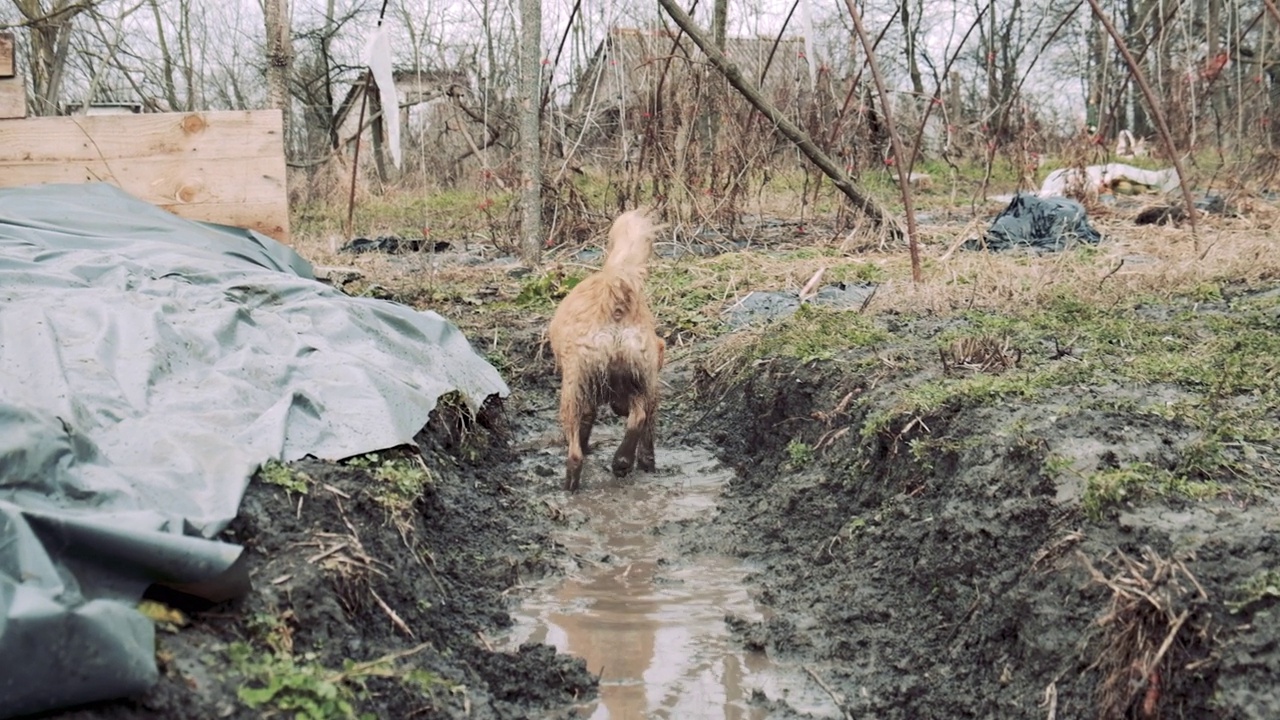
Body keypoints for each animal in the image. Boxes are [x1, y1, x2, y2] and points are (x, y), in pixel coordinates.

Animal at [552, 207, 670, 486]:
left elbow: (585, 426)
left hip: (573, 388)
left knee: (575, 454)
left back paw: (571, 483)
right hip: (641, 379)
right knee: (639, 419)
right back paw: (623, 461)